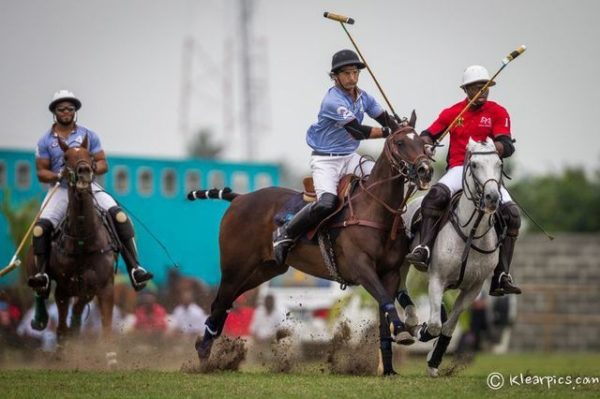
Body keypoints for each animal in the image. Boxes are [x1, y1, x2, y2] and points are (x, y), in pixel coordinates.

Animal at [26, 137, 117, 350]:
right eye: (66, 157)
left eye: (90, 154)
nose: (84, 171)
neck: (83, 241)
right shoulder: (63, 289)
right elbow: (61, 331)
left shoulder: (104, 286)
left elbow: (107, 332)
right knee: (40, 290)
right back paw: (40, 320)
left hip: (86, 290)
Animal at [190, 114, 434, 376]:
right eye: (400, 142)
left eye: (422, 143)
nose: (426, 170)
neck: (376, 210)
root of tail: (240, 198)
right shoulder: (362, 268)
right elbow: (386, 301)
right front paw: (403, 332)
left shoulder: (389, 273)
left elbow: (383, 314)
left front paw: (388, 368)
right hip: (235, 266)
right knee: (220, 302)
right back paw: (203, 356)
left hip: (265, 269)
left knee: (225, 303)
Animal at [400, 138, 504, 378]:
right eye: (474, 164)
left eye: (499, 164)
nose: (493, 198)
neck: (472, 232)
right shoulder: (437, 278)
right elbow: (435, 325)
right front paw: (422, 332)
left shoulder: (474, 288)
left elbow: (448, 326)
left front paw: (434, 360)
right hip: (402, 262)